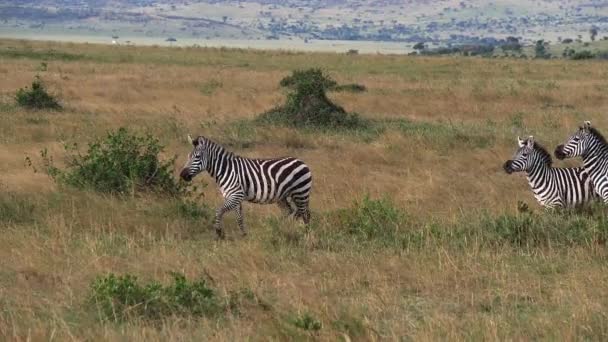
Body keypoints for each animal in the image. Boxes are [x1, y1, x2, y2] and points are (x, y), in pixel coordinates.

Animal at [179, 134, 314, 238]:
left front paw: (218, 233)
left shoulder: (236, 195)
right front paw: (244, 235)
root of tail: (301, 161)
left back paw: (306, 236)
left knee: (305, 215)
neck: (225, 170)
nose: (182, 175)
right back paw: (281, 228)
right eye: (188, 156)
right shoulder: (233, 197)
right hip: (284, 196)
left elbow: (218, 211)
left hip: (301, 192)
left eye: (197, 157)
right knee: (291, 212)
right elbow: (239, 218)